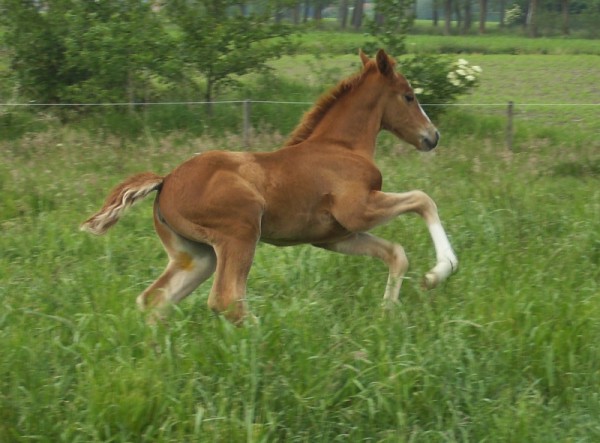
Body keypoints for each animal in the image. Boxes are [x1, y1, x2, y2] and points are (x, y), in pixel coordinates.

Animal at [82, 49, 458, 326]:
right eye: (409, 96)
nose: (433, 136)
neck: (341, 147)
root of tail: (166, 181)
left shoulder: (334, 236)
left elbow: (396, 254)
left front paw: (388, 313)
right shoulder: (358, 211)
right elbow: (423, 199)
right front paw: (441, 270)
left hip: (197, 254)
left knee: (155, 299)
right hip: (240, 233)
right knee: (226, 300)